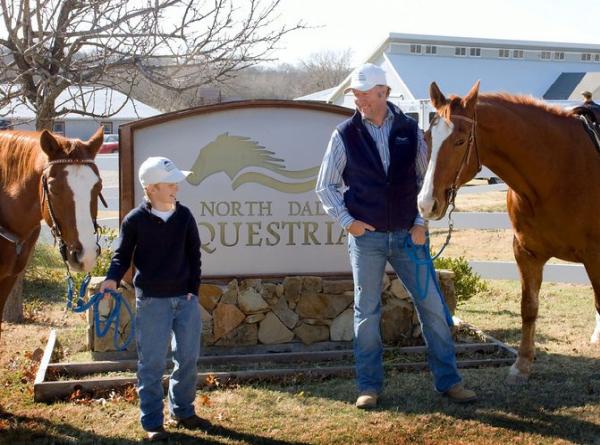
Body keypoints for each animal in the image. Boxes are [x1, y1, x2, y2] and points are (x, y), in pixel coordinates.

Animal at [418, 81, 600, 384]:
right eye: (428, 138)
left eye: (460, 141)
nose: (426, 203)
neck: (559, 169)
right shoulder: (526, 253)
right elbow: (529, 307)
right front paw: (522, 365)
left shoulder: (595, 256)